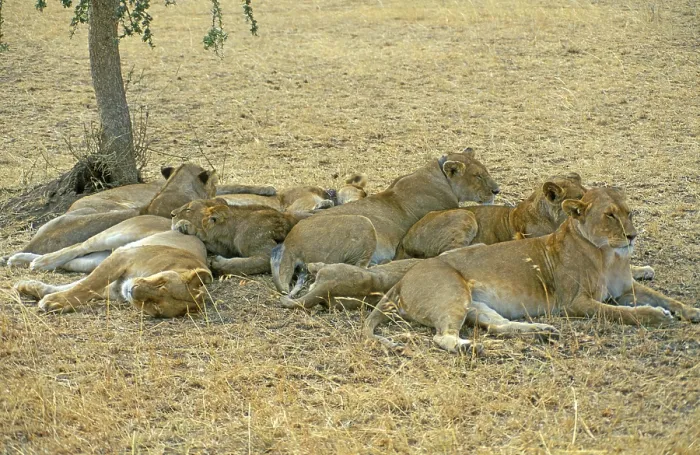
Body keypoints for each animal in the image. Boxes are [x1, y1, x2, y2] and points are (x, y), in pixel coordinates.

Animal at [15, 230, 212, 318]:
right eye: (160, 283)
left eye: (155, 306)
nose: (133, 290)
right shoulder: (122, 257)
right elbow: (84, 285)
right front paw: (52, 300)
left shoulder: (109, 287)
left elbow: (76, 288)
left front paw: (32, 289)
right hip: (115, 238)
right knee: (78, 247)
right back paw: (37, 261)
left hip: (94, 260)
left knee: (73, 261)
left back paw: (23, 261)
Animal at [171, 198, 306, 276]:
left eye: (188, 209)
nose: (171, 214)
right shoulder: (225, 247)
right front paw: (186, 227)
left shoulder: (267, 251)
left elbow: (248, 264)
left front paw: (219, 264)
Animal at [271, 148, 500, 293]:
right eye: (478, 176)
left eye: (485, 171)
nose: (497, 190)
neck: (440, 175)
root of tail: (290, 243)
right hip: (363, 222)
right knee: (357, 268)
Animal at [364, 187, 699, 354]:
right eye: (610, 216)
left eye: (630, 214)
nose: (632, 236)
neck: (609, 256)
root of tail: (402, 280)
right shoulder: (575, 303)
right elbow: (623, 313)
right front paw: (656, 316)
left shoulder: (627, 288)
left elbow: (664, 297)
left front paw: (691, 311)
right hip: (452, 293)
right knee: (443, 338)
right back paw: (473, 347)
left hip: (475, 304)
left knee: (498, 326)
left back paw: (542, 331)